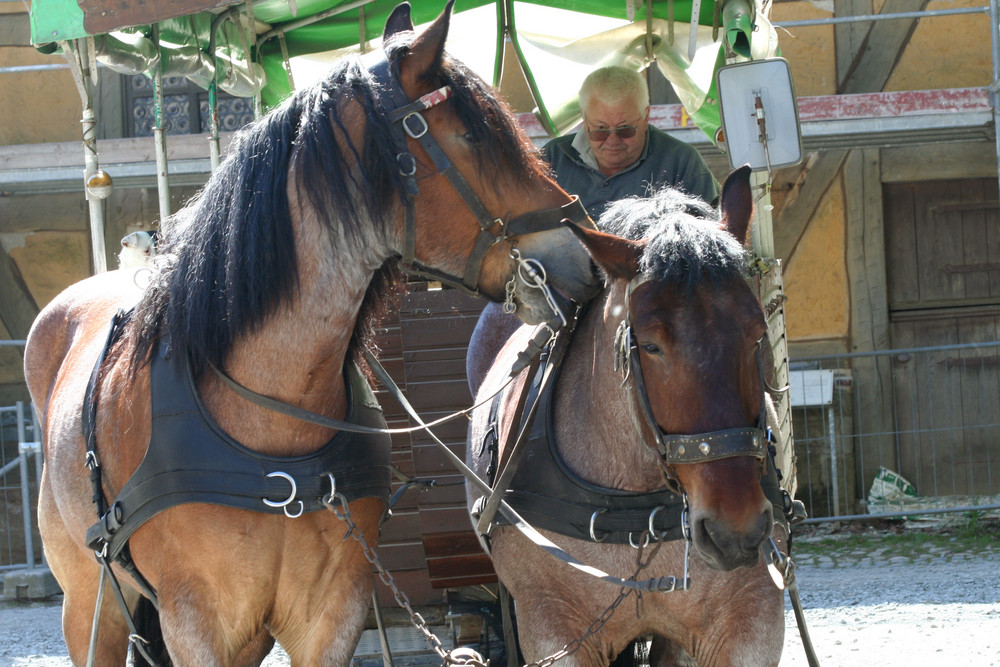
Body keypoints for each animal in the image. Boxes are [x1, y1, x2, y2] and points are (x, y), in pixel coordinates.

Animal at [21, 2, 600, 664]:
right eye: (475, 136)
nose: (587, 252)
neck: (272, 412)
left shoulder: (331, 611)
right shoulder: (196, 619)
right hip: (91, 604)